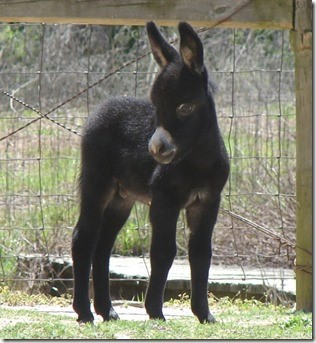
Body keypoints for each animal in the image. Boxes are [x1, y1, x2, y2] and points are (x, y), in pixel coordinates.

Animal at [71, 20, 230, 326]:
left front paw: (204, 314)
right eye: (155, 105)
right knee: (83, 238)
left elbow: (201, 252)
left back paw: (107, 311)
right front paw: (155, 311)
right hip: (97, 182)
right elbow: (164, 251)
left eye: (185, 107)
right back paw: (84, 312)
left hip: (122, 198)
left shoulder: (207, 201)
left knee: (103, 247)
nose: (156, 149)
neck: (197, 162)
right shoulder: (164, 199)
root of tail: (101, 108)